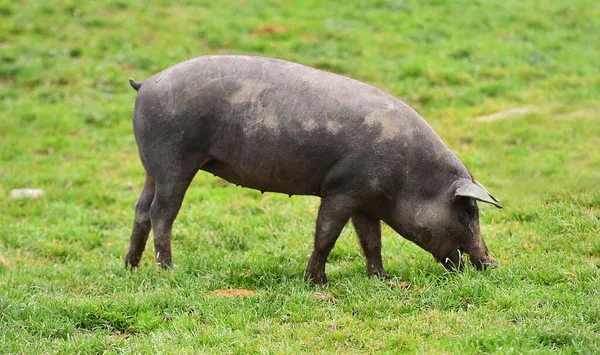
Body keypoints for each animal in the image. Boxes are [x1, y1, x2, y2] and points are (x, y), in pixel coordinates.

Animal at [123, 55, 502, 284]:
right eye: (468, 211)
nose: (492, 263)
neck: (411, 176)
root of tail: (146, 84)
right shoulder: (342, 188)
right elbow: (326, 235)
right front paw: (317, 282)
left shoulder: (366, 200)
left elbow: (371, 240)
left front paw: (382, 279)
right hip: (174, 159)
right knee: (162, 212)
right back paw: (167, 271)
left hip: (151, 167)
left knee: (141, 208)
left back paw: (130, 266)